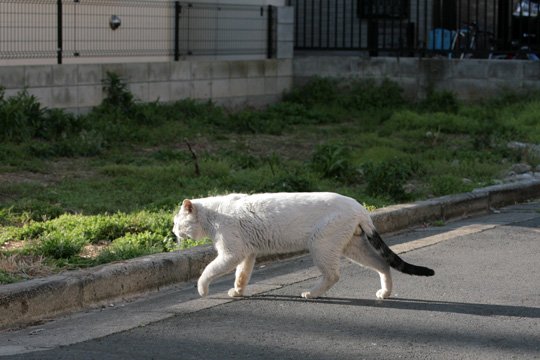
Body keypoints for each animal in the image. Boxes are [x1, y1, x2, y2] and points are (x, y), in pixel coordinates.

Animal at [173, 193, 434, 300]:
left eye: (176, 222)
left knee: (333, 275)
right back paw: (385, 293)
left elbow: (207, 271)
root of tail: (360, 207)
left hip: (321, 245)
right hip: (353, 247)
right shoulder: (247, 254)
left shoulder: (231, 253)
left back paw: (311, 293)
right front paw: (237, 292)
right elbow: (242, 275)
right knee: (383, 264)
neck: (212, 215)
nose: (174, 233)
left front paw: (202, 290)